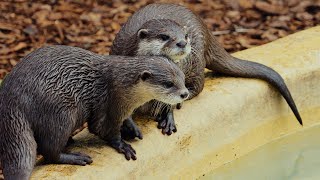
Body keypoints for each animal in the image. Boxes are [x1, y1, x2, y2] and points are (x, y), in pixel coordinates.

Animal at [0, 45, 188, 180]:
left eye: (182, 78)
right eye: (169, 84)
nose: (185, 93)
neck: (122, 85)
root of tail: (10, 97)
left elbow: (125, 119)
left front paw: (132, 128)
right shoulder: (110, 102)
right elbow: (102, 129)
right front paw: (123, 145)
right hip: (61, 112)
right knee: (49, 150)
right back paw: (75, 157)